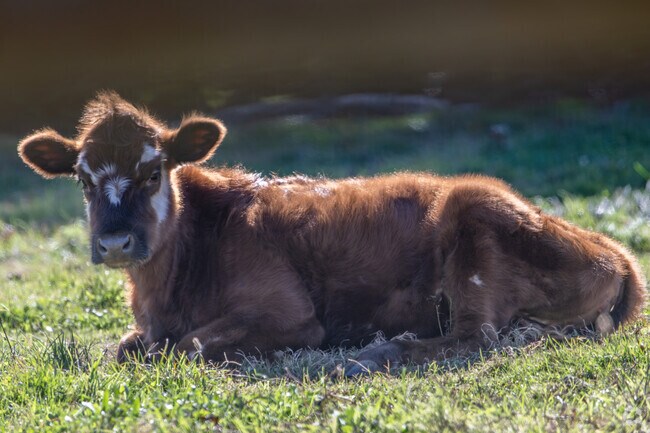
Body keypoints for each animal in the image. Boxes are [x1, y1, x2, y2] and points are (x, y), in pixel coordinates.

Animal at [18, 92, 647, 374]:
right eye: (82, 180)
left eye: (154, 173)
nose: (115, 243)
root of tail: (616, 253)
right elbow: (123, 348)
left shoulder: (290, 316)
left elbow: (184, 346)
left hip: (475, 216)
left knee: (479, 337)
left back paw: (375, 351)